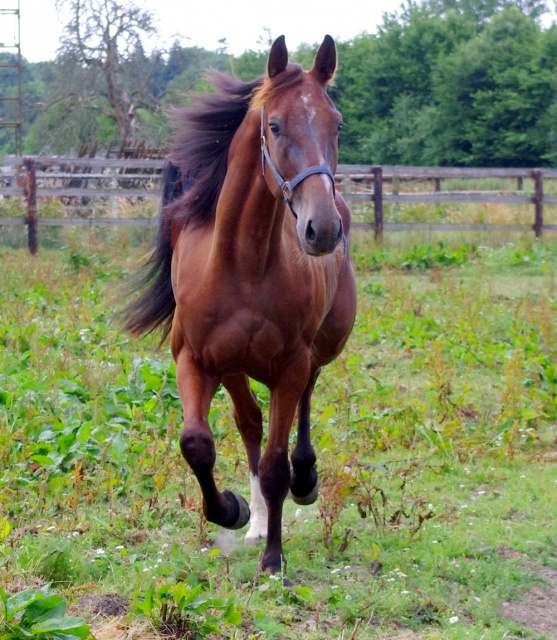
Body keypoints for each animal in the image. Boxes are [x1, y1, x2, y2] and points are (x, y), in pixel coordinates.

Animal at [122, 33, 356, 576]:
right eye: (274, 125)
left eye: (336, 123)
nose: (322, 229)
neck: (244, 267)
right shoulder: (195, 360)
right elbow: (197, 444)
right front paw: (232, 510)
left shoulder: (290, 366)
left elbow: (274, 465)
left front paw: (274, 557)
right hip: (233, 368)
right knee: (249, 425)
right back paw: (254, 524)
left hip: (319, 348)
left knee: (304, 402)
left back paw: (304, 481)